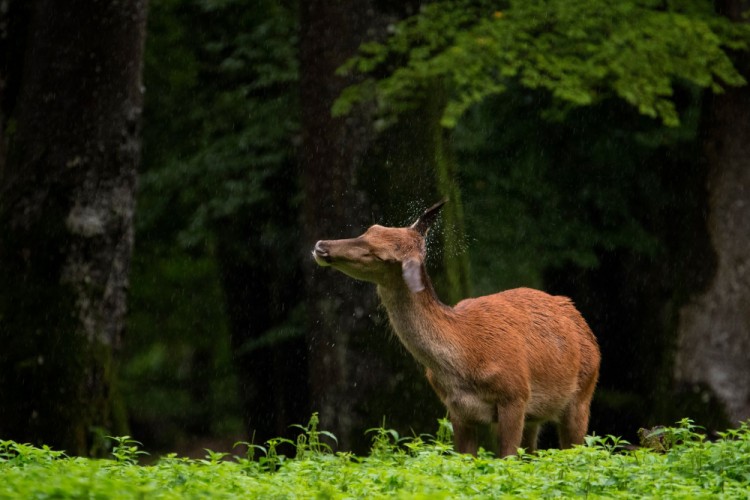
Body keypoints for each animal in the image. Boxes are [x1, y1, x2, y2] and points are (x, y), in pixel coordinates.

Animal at [310, 200, 600, 458]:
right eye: (369, 229)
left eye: (378, 254)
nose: (321, 246)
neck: (466, 356)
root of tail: (580, 319)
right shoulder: (457, 409)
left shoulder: (515, 395)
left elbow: (507, 458)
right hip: (536, 416)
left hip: (582, 395)